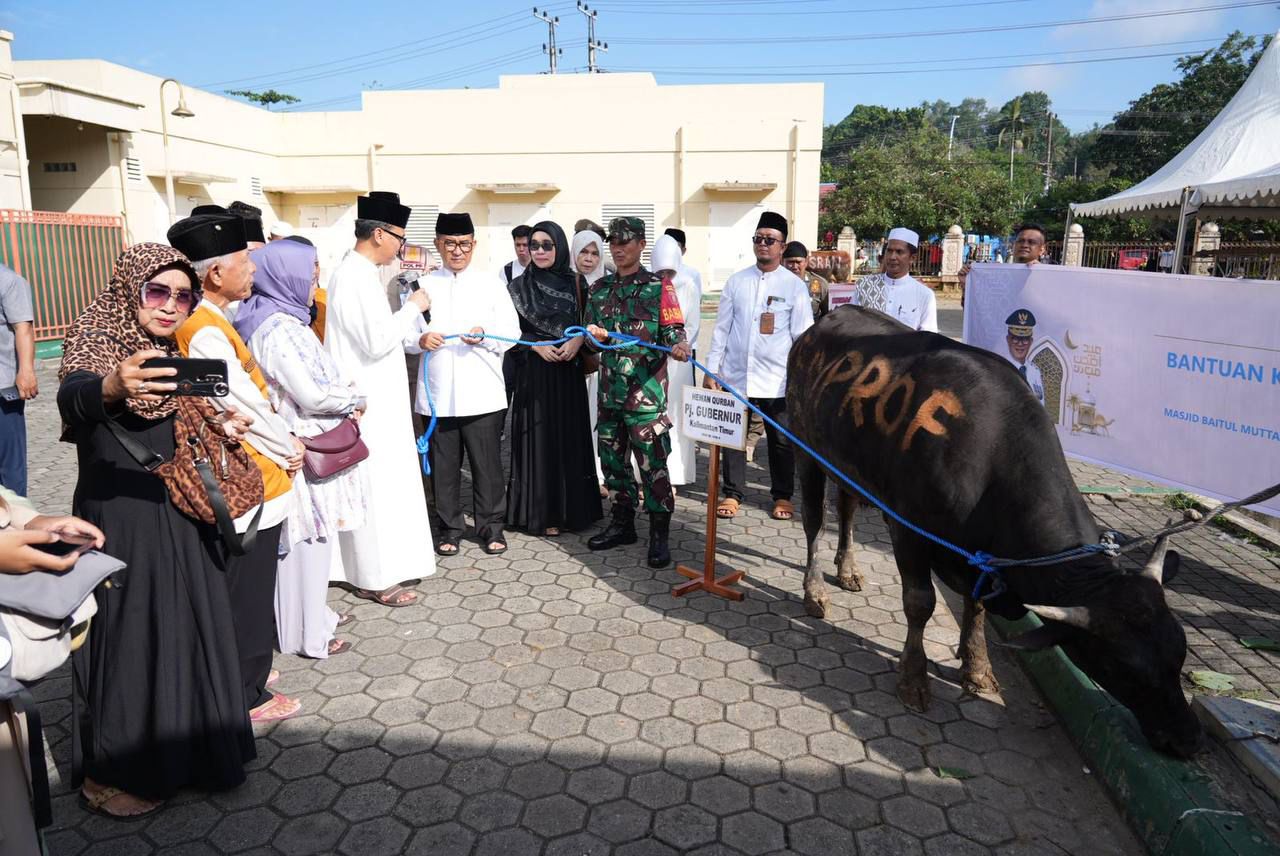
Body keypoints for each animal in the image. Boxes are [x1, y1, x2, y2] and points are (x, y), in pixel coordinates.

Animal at [783, 305, 1203, 752]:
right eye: (1121, 666)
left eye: (1180, 650)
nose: (1189, 740)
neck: (989, 456)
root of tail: (824, 322)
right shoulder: (907, 529)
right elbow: (920, 602)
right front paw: (913, 678)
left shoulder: (977, 557)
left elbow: (977, 607)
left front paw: (977, 668)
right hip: (806, 448)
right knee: (814, 522)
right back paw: (815, 591)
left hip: (847, 464)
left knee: (845, 512)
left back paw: (848, 571)